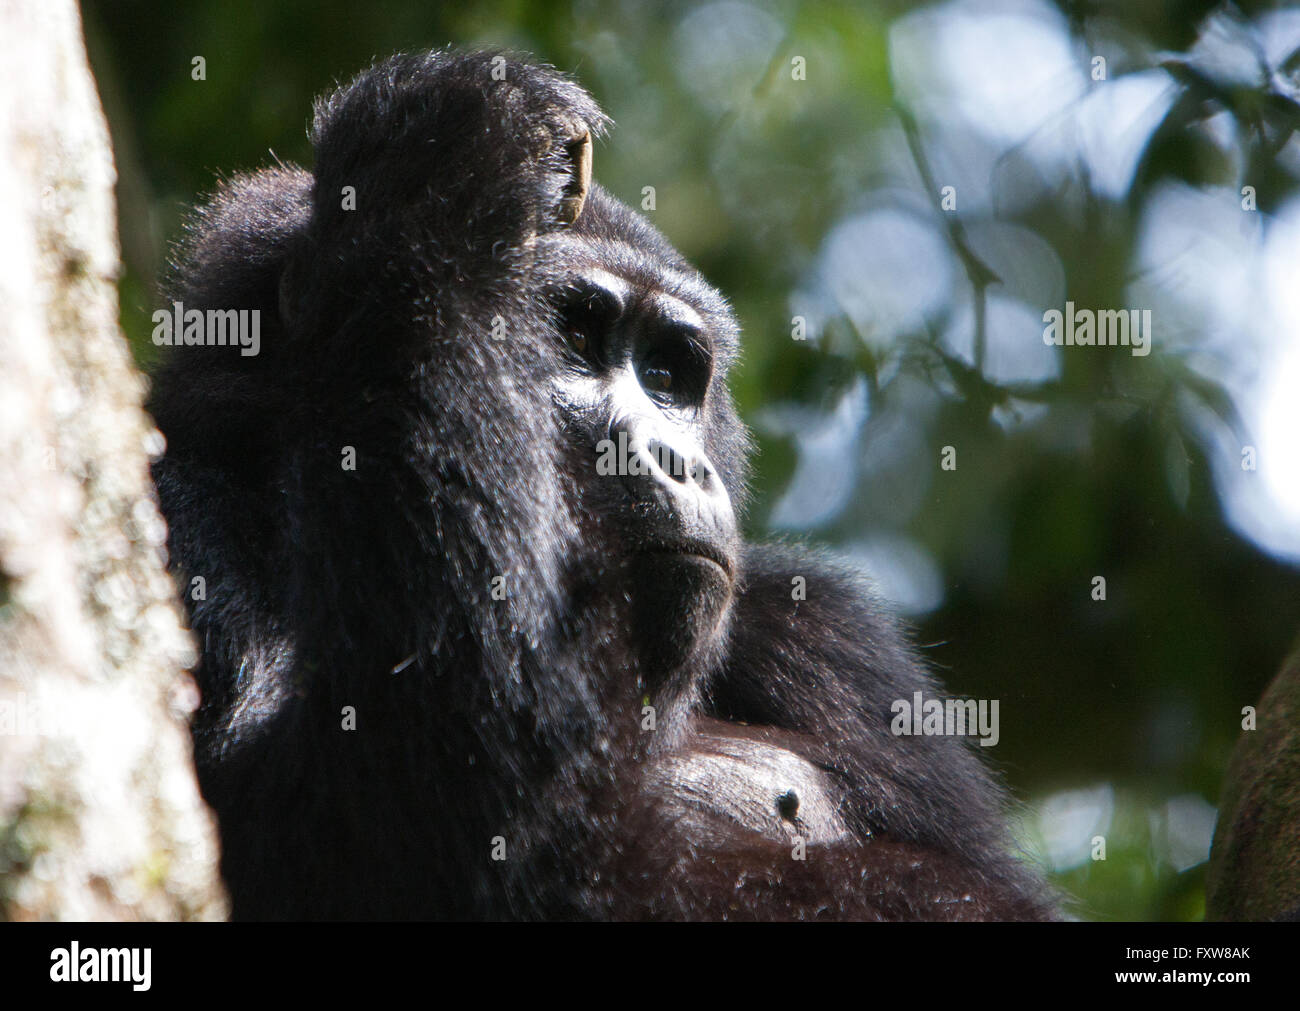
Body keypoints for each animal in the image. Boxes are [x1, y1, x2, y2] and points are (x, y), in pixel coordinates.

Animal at [147, 49, 1055, 920]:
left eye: (668, 373)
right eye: (571, 339)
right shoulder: (185, 512)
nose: (676, 460)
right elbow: (375, 824)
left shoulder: (832, 634)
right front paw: (436, 169)